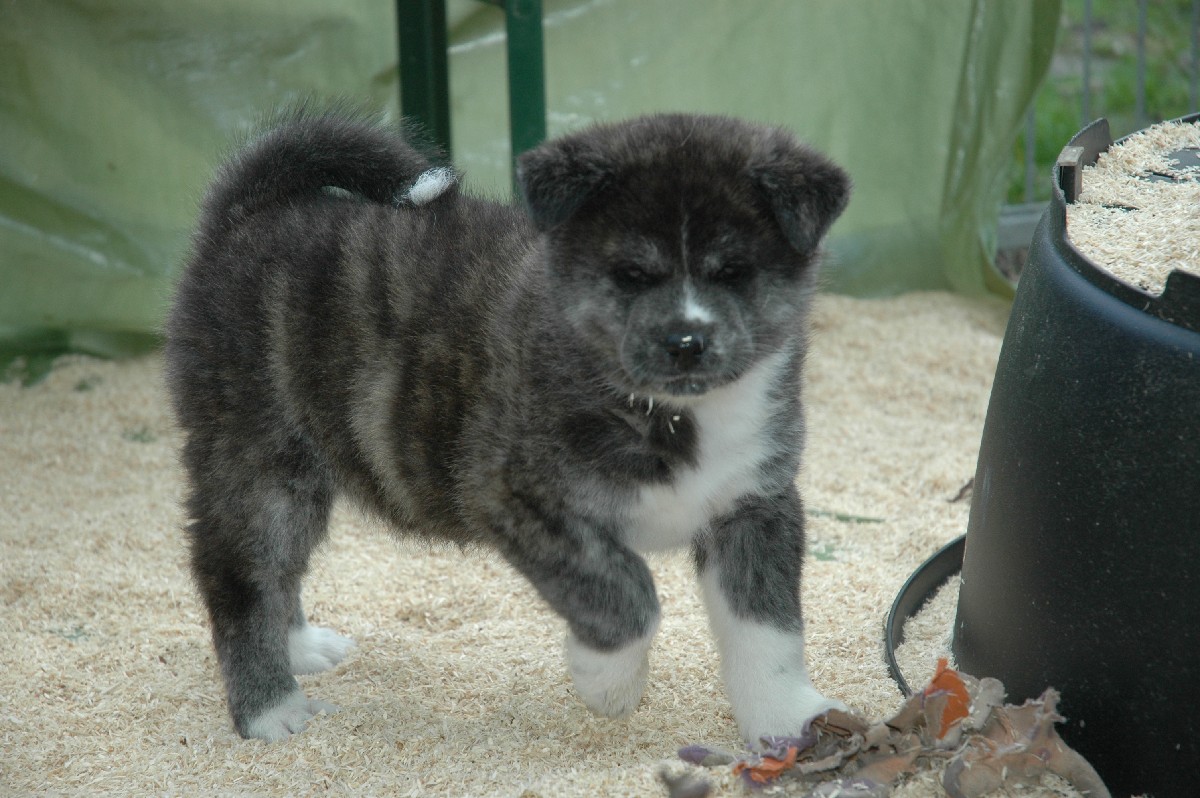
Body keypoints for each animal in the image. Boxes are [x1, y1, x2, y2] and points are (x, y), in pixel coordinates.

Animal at [165, 108, 850, 743]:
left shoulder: (754, 504)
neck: (673, 411)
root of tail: (246, 214)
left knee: (281, 569)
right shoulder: (513, 496)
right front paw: (607, 683)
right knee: (241, 573)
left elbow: (768, 630)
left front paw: (786, 721)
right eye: (630, 274)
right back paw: (271, 709)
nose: (687, 343)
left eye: (734, 271)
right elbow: (625, 595)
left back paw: (303, 650)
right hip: (261, 456)